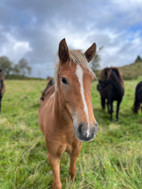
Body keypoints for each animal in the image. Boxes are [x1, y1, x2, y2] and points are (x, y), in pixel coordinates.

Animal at [37, 38, 97, 189]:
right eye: (63, 79)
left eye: (91, 80)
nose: (88, 130)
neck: (65, 128)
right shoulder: (53, 157)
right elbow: (57, 183)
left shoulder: (76, 151)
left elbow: (72, 170)